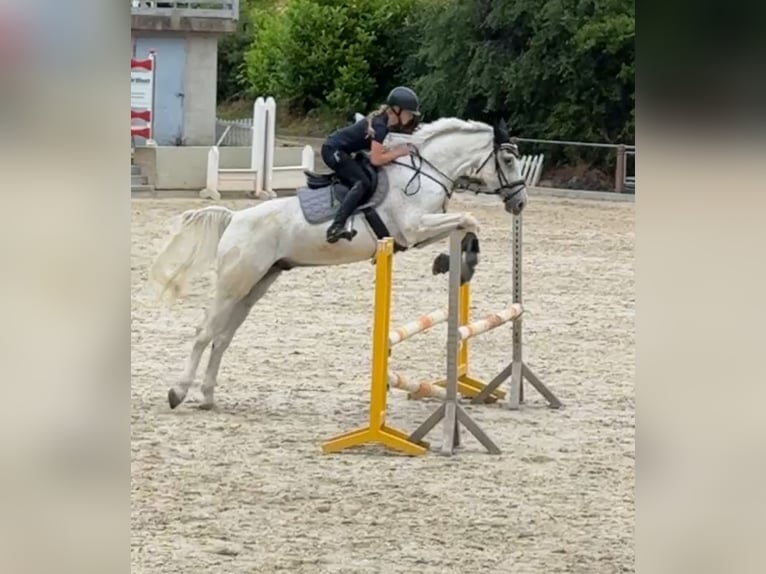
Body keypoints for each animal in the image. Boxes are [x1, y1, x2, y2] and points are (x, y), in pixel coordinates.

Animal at [150, 117, 528, 410]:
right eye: (508, 161)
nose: (521, 202)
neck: (427, 173)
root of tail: (234, 218)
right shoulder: (414, 227)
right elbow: (469, 219)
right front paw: (459, 265)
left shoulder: (418, 234)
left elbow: (467, 225)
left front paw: (454, 262)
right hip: (234, 284)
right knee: (204, 333)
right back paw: (178, 392)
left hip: (256, 285)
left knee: (223, 337)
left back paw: (208, 396)